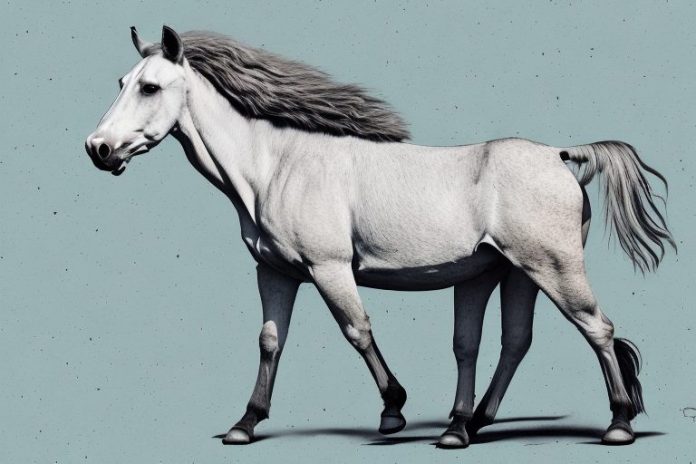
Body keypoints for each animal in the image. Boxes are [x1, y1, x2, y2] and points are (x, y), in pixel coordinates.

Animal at [85, 26, 675, 448]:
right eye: (121, 83)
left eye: (150, 86)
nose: (98, 149)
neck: (277, 165)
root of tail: (561, 155)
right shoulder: (275, 272)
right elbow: (270, 340)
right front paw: (245, 424)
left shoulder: (329, 269)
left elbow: (357, 330)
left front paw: (393, 411)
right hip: (515, 274)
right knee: (514, 343)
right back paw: (465, 426)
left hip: (553, 269)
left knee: (597, 328)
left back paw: (618, 425)